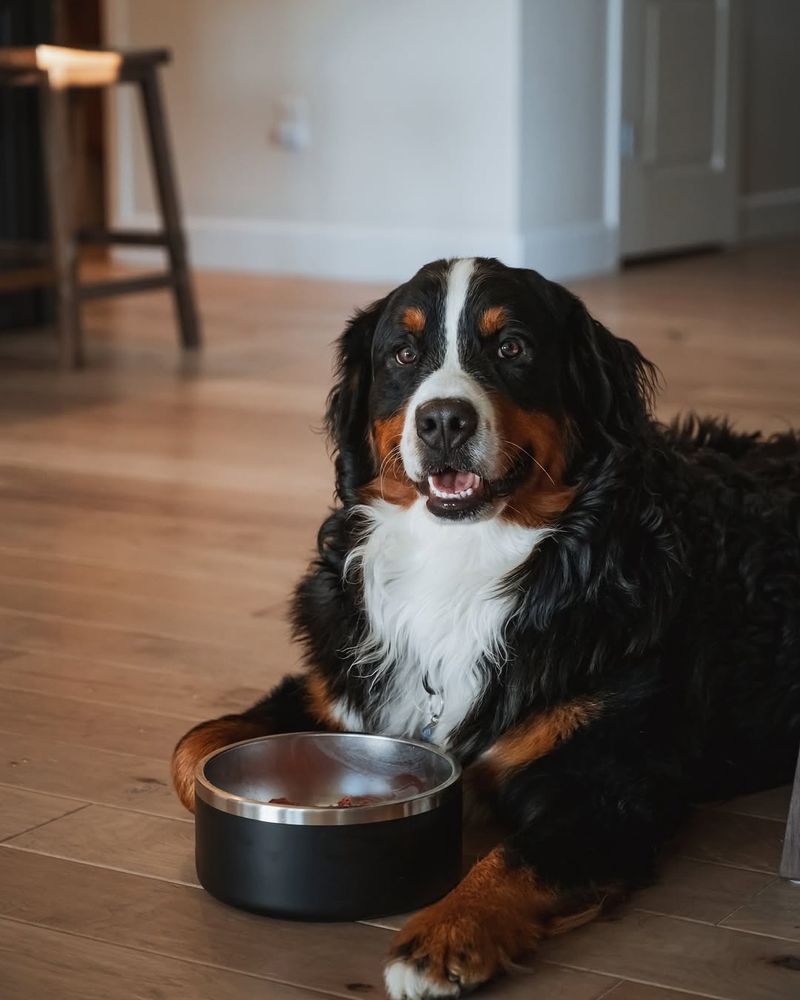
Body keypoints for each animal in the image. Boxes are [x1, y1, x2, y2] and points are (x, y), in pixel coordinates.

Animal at [170, 260, 800, 1000]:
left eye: (513, 348)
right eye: (403, 354)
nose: (444, 419)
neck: (462, 562)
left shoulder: (606, 785)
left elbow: (512, 860)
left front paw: (441, 939)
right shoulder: (339, 686)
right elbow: (191, 750)